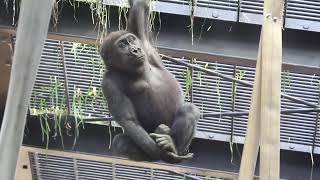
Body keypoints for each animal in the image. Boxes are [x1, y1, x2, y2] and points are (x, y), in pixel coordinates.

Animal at [100, 0, 200, 163]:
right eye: (122, 45)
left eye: (131, 40)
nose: (135, 50)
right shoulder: (108, 83)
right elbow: (128, 120)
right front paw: (159, 151)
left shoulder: (143, 42)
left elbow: (140, 7)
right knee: (120, 142)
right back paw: (162, 152)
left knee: (188, 110)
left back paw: (173, 146)